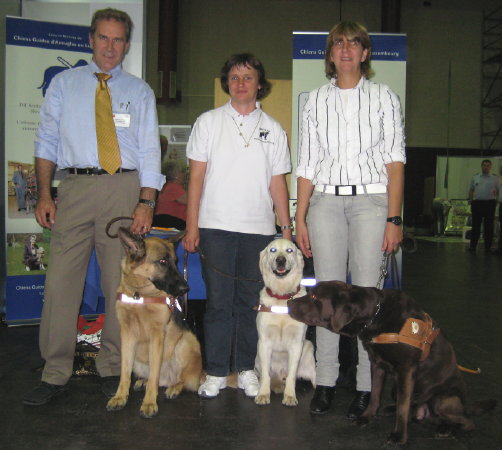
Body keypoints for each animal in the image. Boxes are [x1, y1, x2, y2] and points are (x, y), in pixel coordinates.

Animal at [106, 229, 202, 418]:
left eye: (176, 261)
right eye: (163, 261)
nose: (185, 289)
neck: (139, 294)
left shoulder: (157, 336)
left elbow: (154, 375)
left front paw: (149, 403)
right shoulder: (127, 336)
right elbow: (124, 373)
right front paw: (120, 397)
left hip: (186, 342)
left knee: (184, 380)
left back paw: (175, 387)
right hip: (137, 357)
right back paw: (143, 381)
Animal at [255, 239, 314, 408]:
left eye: (289, 250)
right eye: (273, 250)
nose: (280, 260)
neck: (282, 297)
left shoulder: (296, 343)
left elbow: (292, 376)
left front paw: (290, 396)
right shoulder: (264, 343)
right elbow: (266, 376)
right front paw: (263, 394)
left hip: (308, 348)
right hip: (257, 357)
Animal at [288, 284, 496, 444]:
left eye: (314, 296)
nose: (289, 301)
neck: (375, 315)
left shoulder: (406, 370)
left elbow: (403, 408)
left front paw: (399, 436)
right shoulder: (376, 364)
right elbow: (375, 394)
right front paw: (366, 417)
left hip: (443, 398)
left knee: (467, 422)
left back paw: (446, 428)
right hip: (396, 389)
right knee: (411, 405)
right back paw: (391, 409)